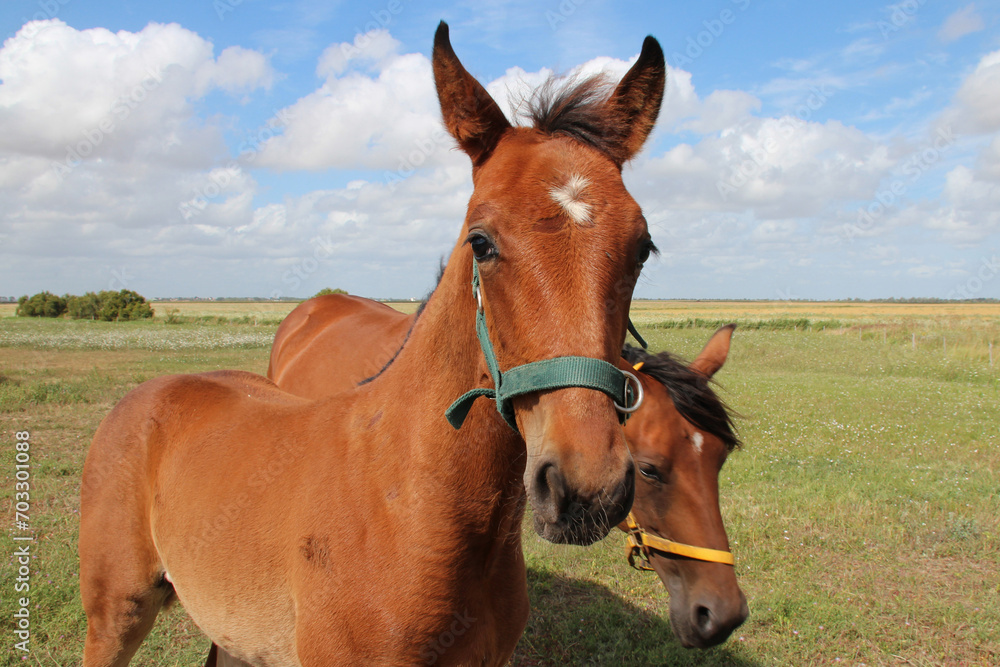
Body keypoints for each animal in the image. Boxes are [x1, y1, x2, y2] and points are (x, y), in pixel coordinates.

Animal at [79, 21, 665, 667]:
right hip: (115, 616)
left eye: (642, 248)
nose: (587, 489)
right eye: (481, 242)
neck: (408, 507)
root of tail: (148, 393)